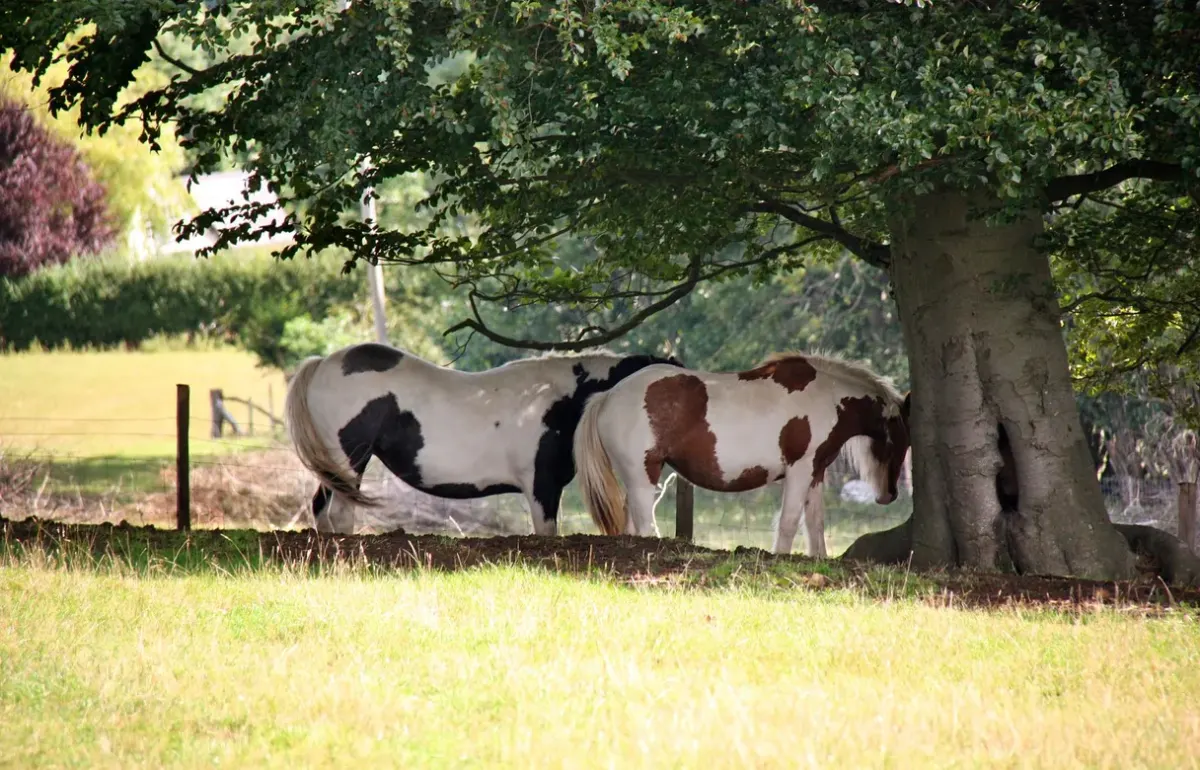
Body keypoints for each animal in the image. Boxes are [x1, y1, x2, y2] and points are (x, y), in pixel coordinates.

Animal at [284, 341, 681, 534]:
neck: (560, 399)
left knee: (321, 509)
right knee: (338, 513)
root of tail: (322, 364)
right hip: (348, 461)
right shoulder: (541, 487)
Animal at [571, 351, 911, 555]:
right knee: (644, 524)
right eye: (903, 440)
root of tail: (607, 396)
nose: (889, 495)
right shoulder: (800, 470)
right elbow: (789, 521)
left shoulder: (815, 473)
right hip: (644, 475)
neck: (826, 397)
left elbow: (815, 523)